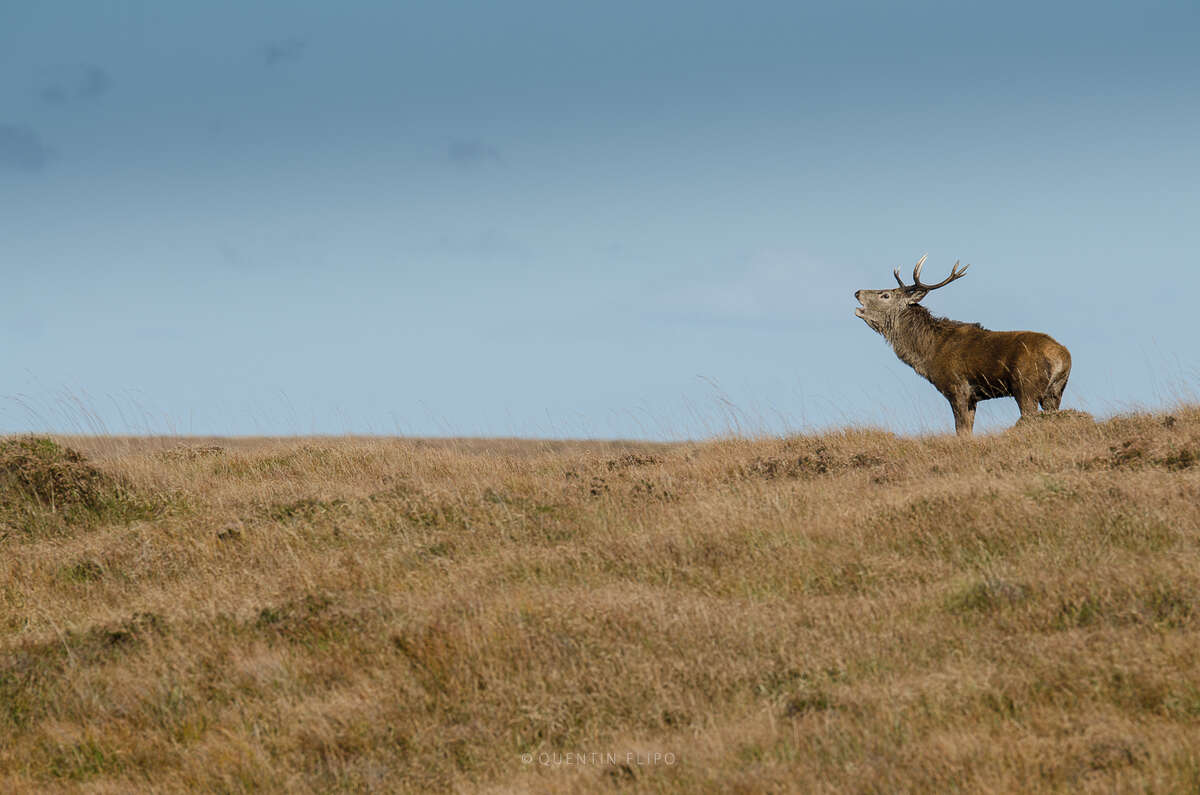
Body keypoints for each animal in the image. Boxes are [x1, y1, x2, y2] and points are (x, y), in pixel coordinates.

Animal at [854, 255, 1071, 435]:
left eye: (885, 295)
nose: (857, 292)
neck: (928, 354)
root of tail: (1063, 357)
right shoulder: (973, 398)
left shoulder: (957, 387)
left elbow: (961, 430)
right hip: (1055, 391)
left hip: (1026, 386)